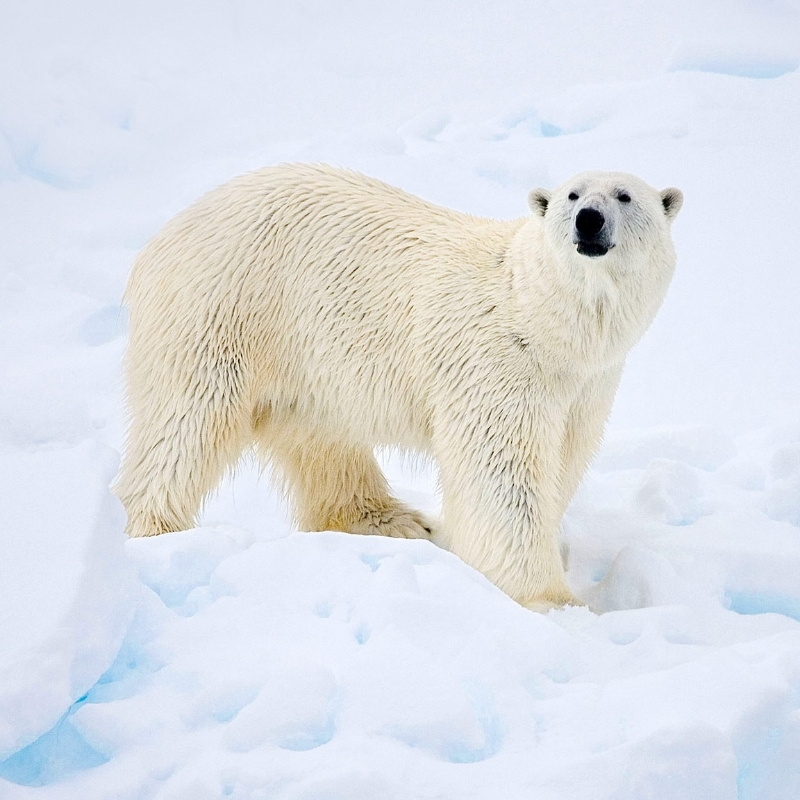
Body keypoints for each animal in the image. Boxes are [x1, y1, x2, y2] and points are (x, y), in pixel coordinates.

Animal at [117, 166, 680, 608]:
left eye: (624, 196)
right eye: (572, 194)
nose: (589, 219)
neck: (537, 316)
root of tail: (168, 231)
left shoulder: (586, 385)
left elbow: (562, 460)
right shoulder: (497, 365)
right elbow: (504, 476)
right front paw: (549, 599)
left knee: (318, 435)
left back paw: (390, 520)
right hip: (222, 309)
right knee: (187, 421)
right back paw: (156, 530)